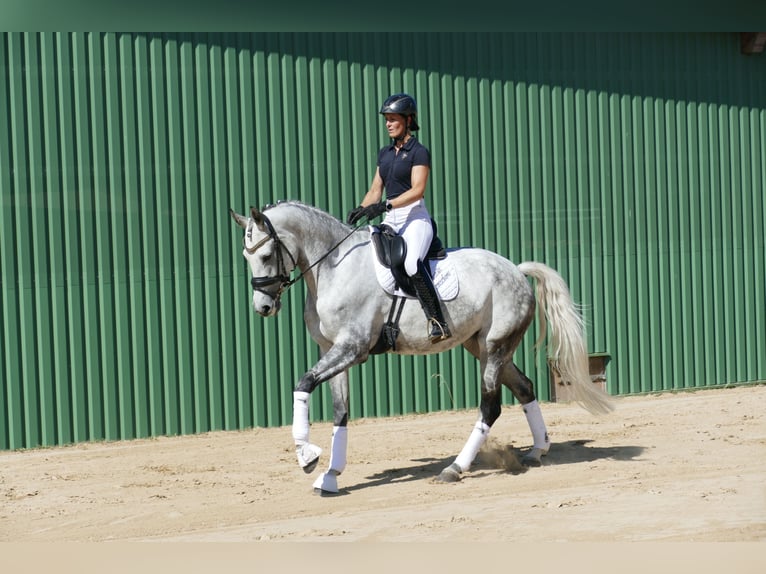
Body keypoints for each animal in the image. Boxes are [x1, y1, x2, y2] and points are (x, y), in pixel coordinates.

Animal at [231, 201, 616, 496]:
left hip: (495, 347)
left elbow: (304, 382)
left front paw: (307, 456)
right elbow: (340, 413)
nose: (262, 307)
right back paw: (537, 450)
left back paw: (455, 468)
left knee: (490, 407)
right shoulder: (333, 349)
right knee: (524, 387)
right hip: (484, 347)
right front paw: (330, 476)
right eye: (246, 257)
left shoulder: (352, 348)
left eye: (267, 253)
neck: (333, 267)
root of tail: (516, 270)